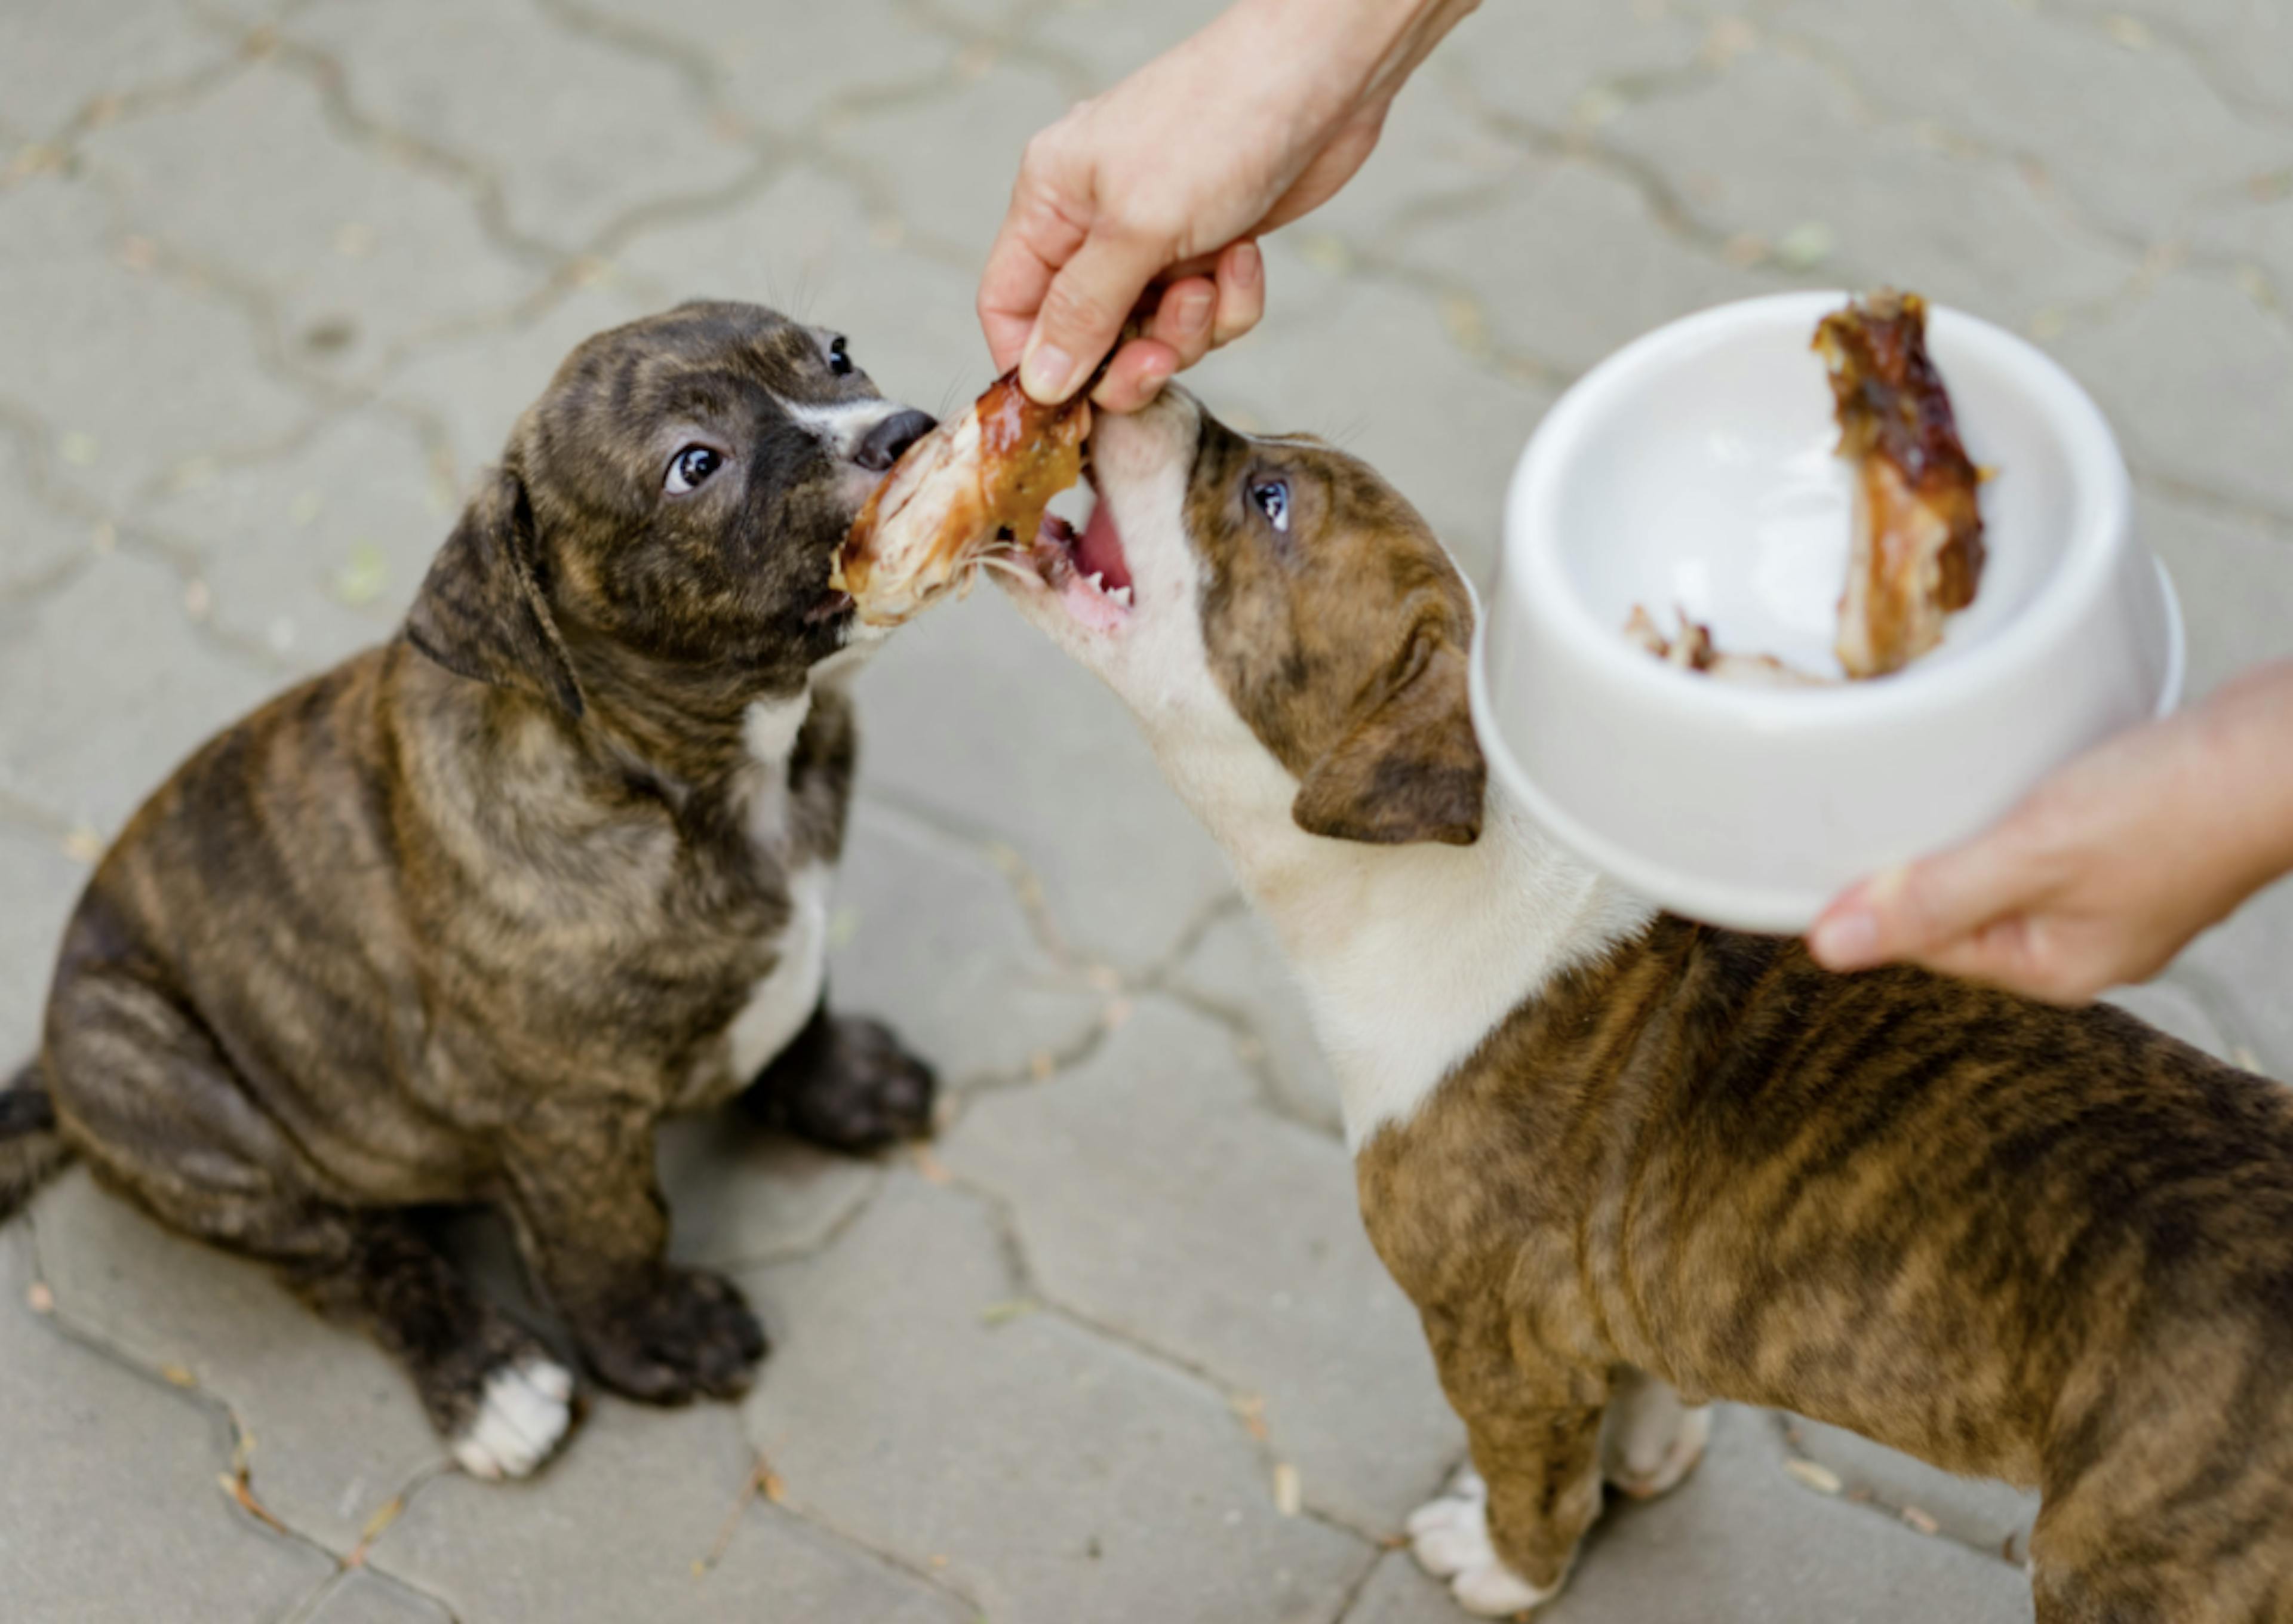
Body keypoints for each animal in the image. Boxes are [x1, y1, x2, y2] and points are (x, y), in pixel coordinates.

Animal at [0, 298, 945, 1477]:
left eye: (836, 354)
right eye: (696, 464)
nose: (903, 432)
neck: (698, 779)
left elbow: (800, 996)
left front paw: (840, 1080)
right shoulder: (564, 1113)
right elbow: (609, 1230)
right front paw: (655, 1335)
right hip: (150, 1074)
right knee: (349, 1254)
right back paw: (487, 1378)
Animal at [1000, 383, 2293, 1624]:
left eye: (1269, 502)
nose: (1144, 383)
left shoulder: (1496, 1344)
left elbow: (1534, 1484)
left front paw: (1508, 1568)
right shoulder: (1606, 1306)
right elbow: (1635, 1387)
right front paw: (1651, 1457)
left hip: (2121, 1564)